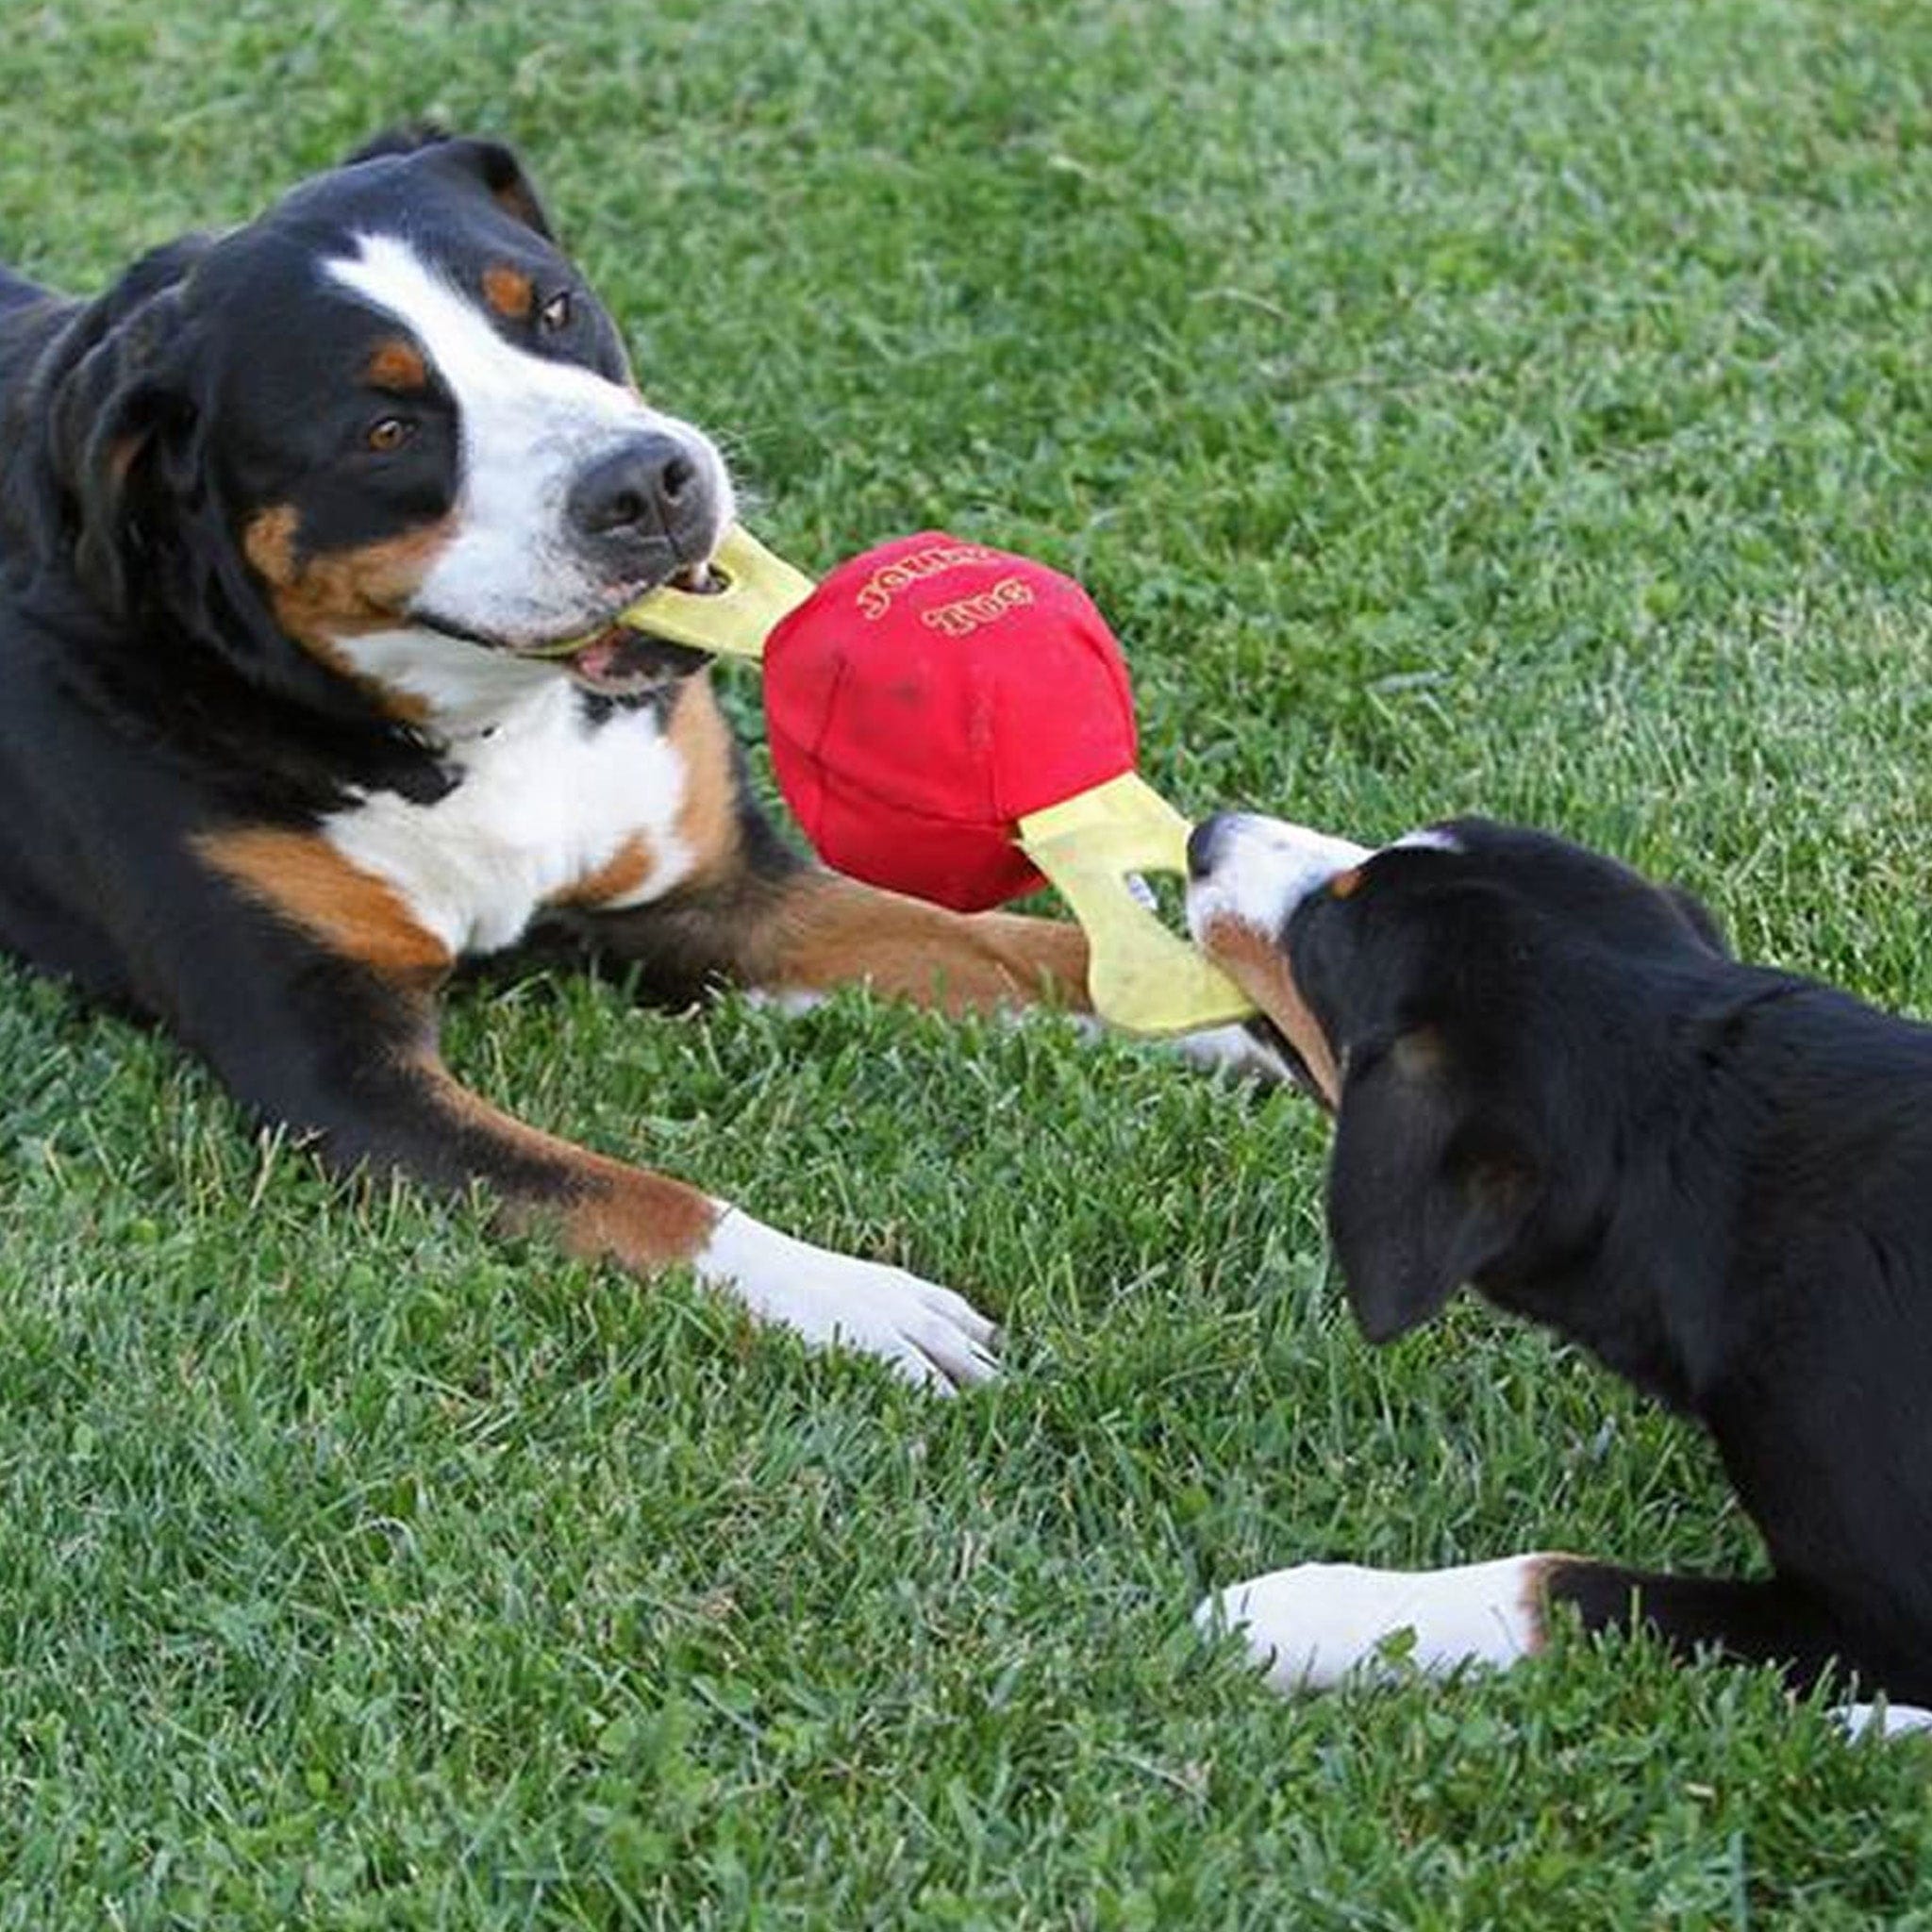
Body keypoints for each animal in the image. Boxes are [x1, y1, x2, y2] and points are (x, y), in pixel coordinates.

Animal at [0, 128, 1282, 1391]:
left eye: (554, 308)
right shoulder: (327, 1061)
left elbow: (1013, 947)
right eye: (385, 429)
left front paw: (1246, 1003)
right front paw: (854, 1301)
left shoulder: (721, 896)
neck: (480, 732)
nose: (644, 481)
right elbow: (633, 1195)